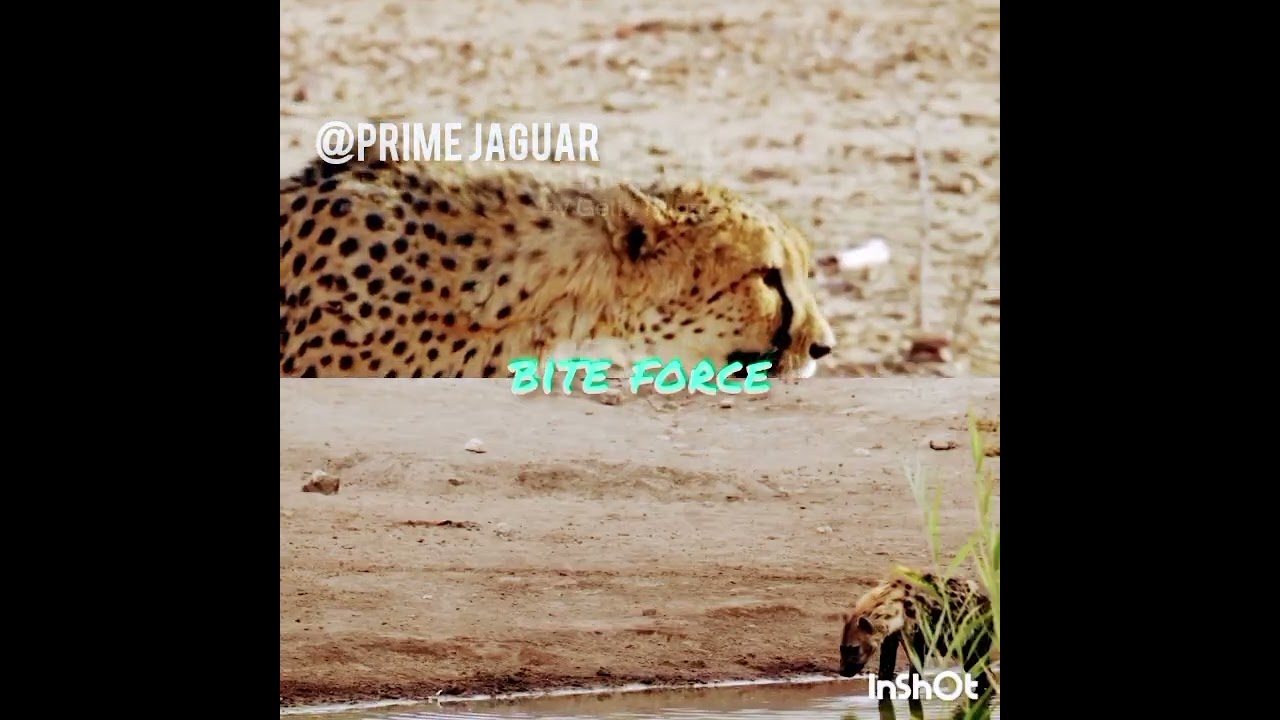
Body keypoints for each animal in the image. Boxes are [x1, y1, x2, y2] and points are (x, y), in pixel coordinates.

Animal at [839, 567, 996, 703]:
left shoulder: (918, 638)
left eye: (854, 648)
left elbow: (914, 675)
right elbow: (885, 670)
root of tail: (987, 602)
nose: (842, 672)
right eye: (841, 648)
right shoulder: (891, 637)